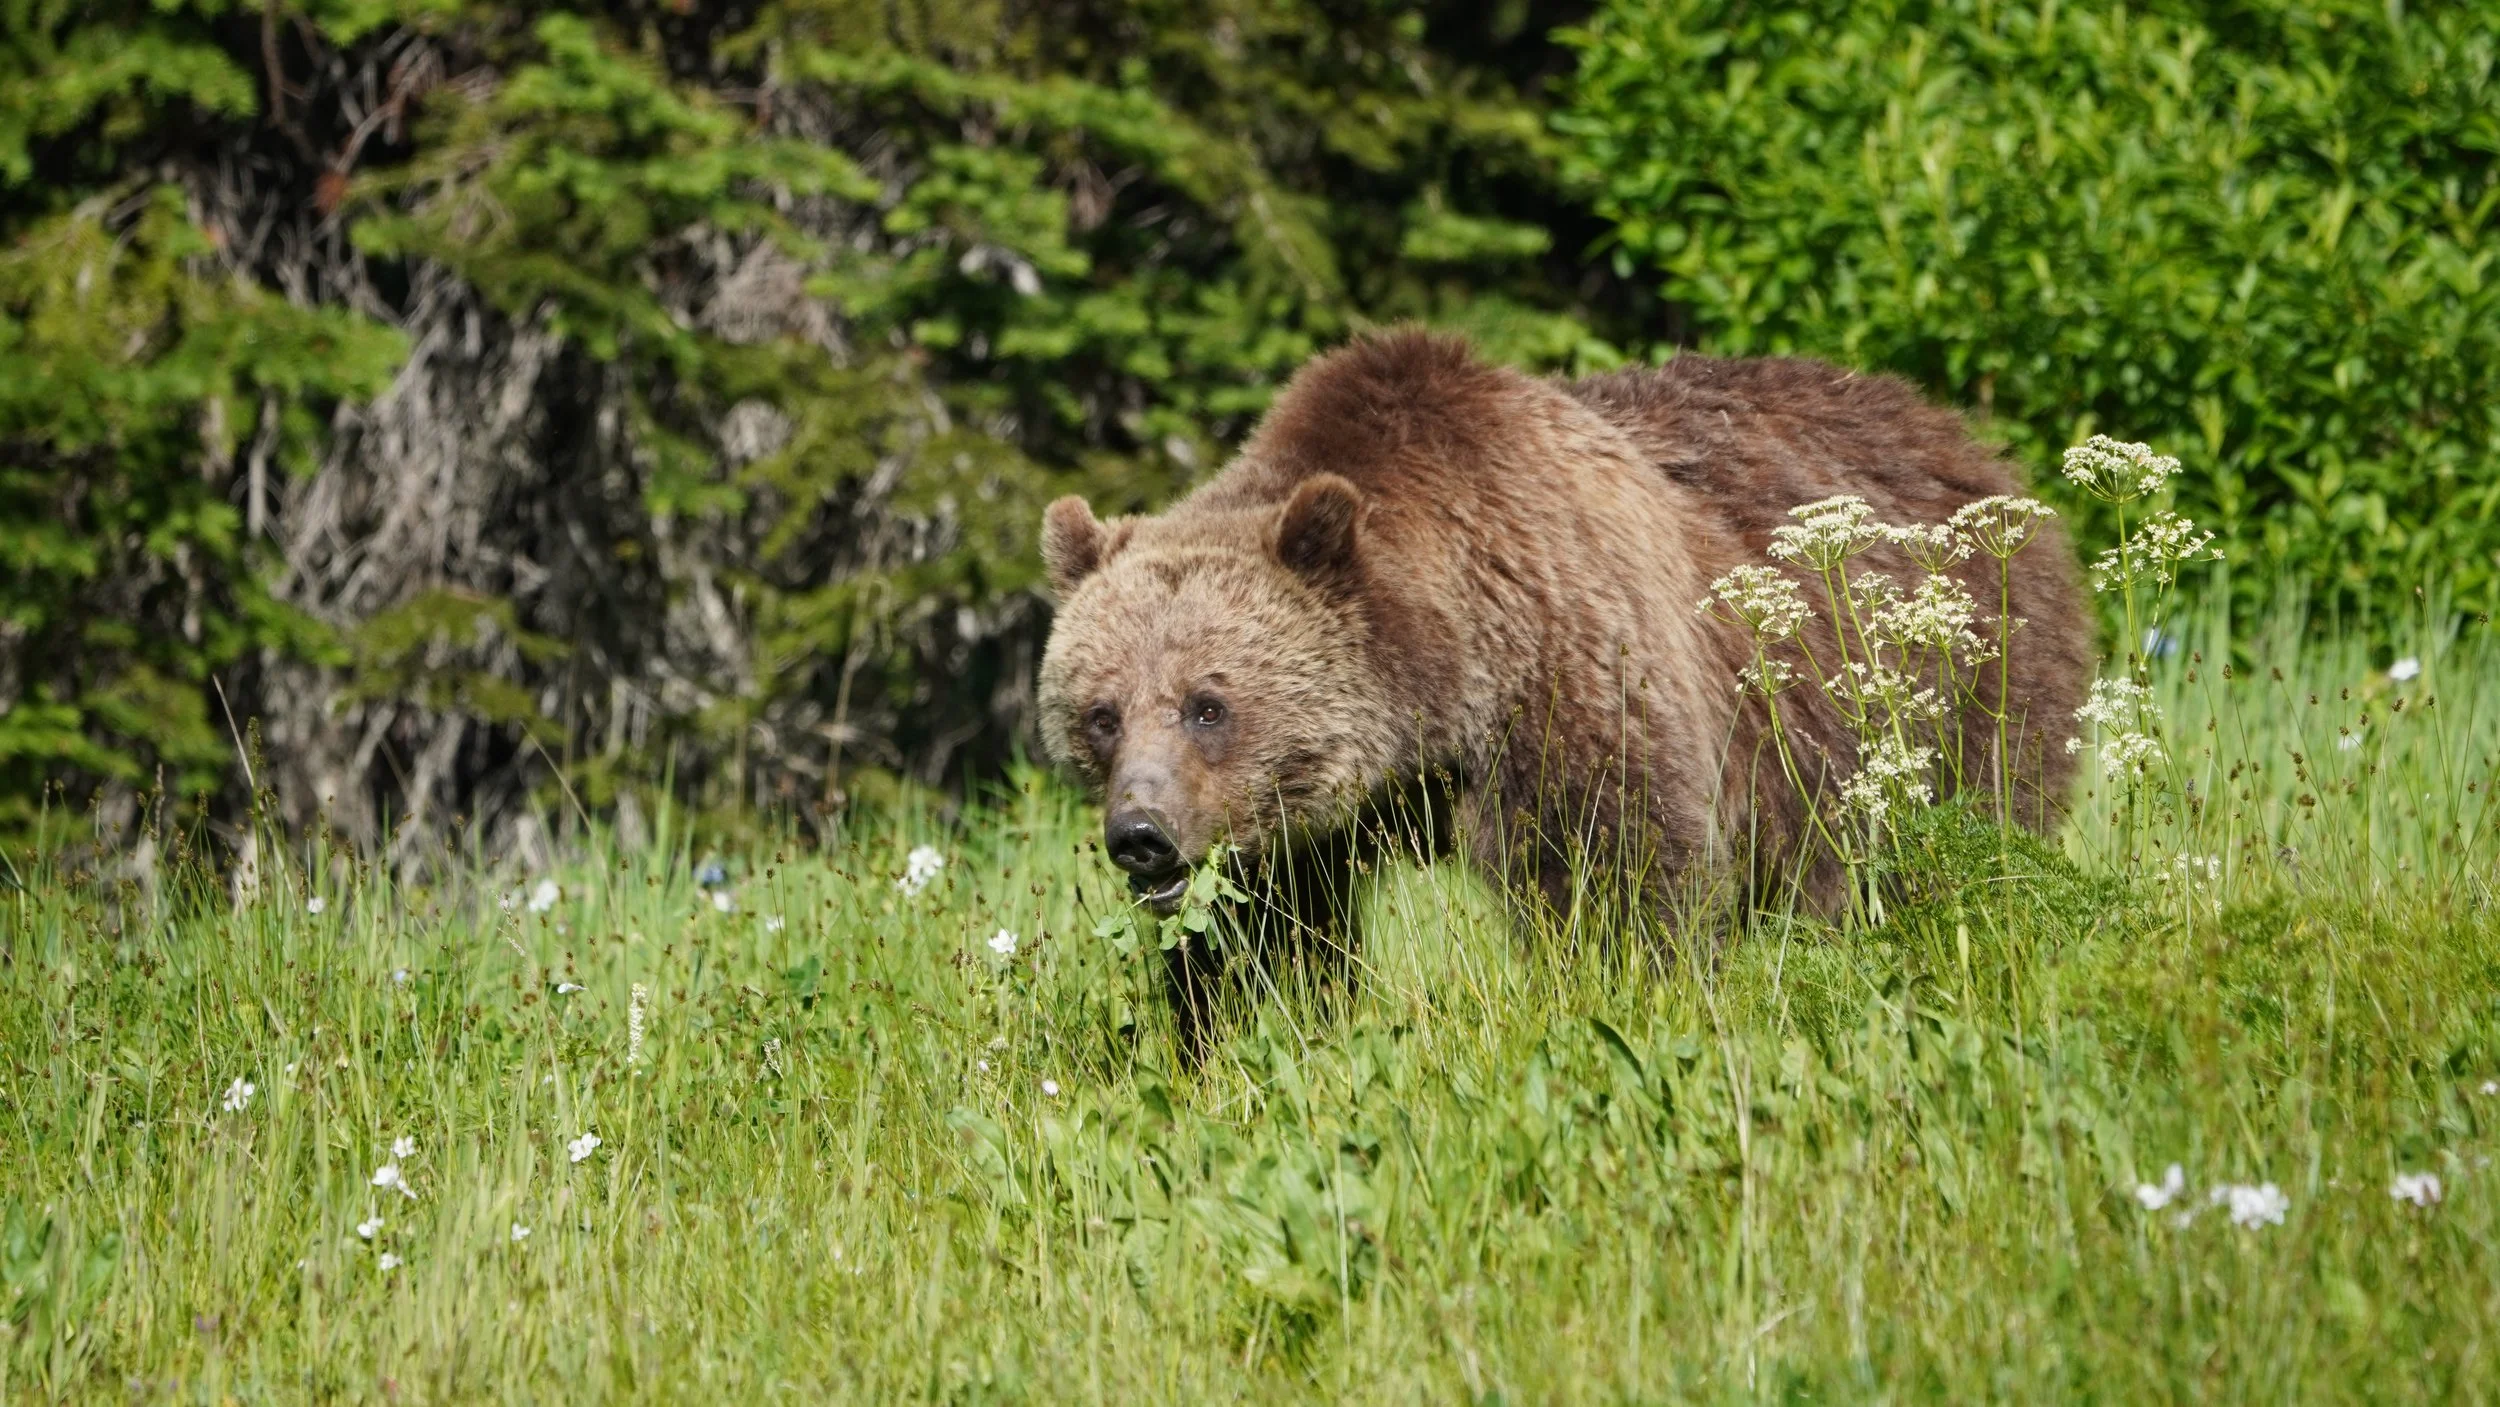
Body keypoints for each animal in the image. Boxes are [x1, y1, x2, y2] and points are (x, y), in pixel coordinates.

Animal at [1037, 330, 2092, 1049]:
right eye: (1101, 712)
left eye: (1208, 703)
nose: (1140, 834)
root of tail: (1964, 438)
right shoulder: (1302, 829)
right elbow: (1263, 939)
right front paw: (1240, 1028)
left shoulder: (1570, 670)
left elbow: (1616, 873)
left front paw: (1618, 998)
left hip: (1954, 688)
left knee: (1953, 841)